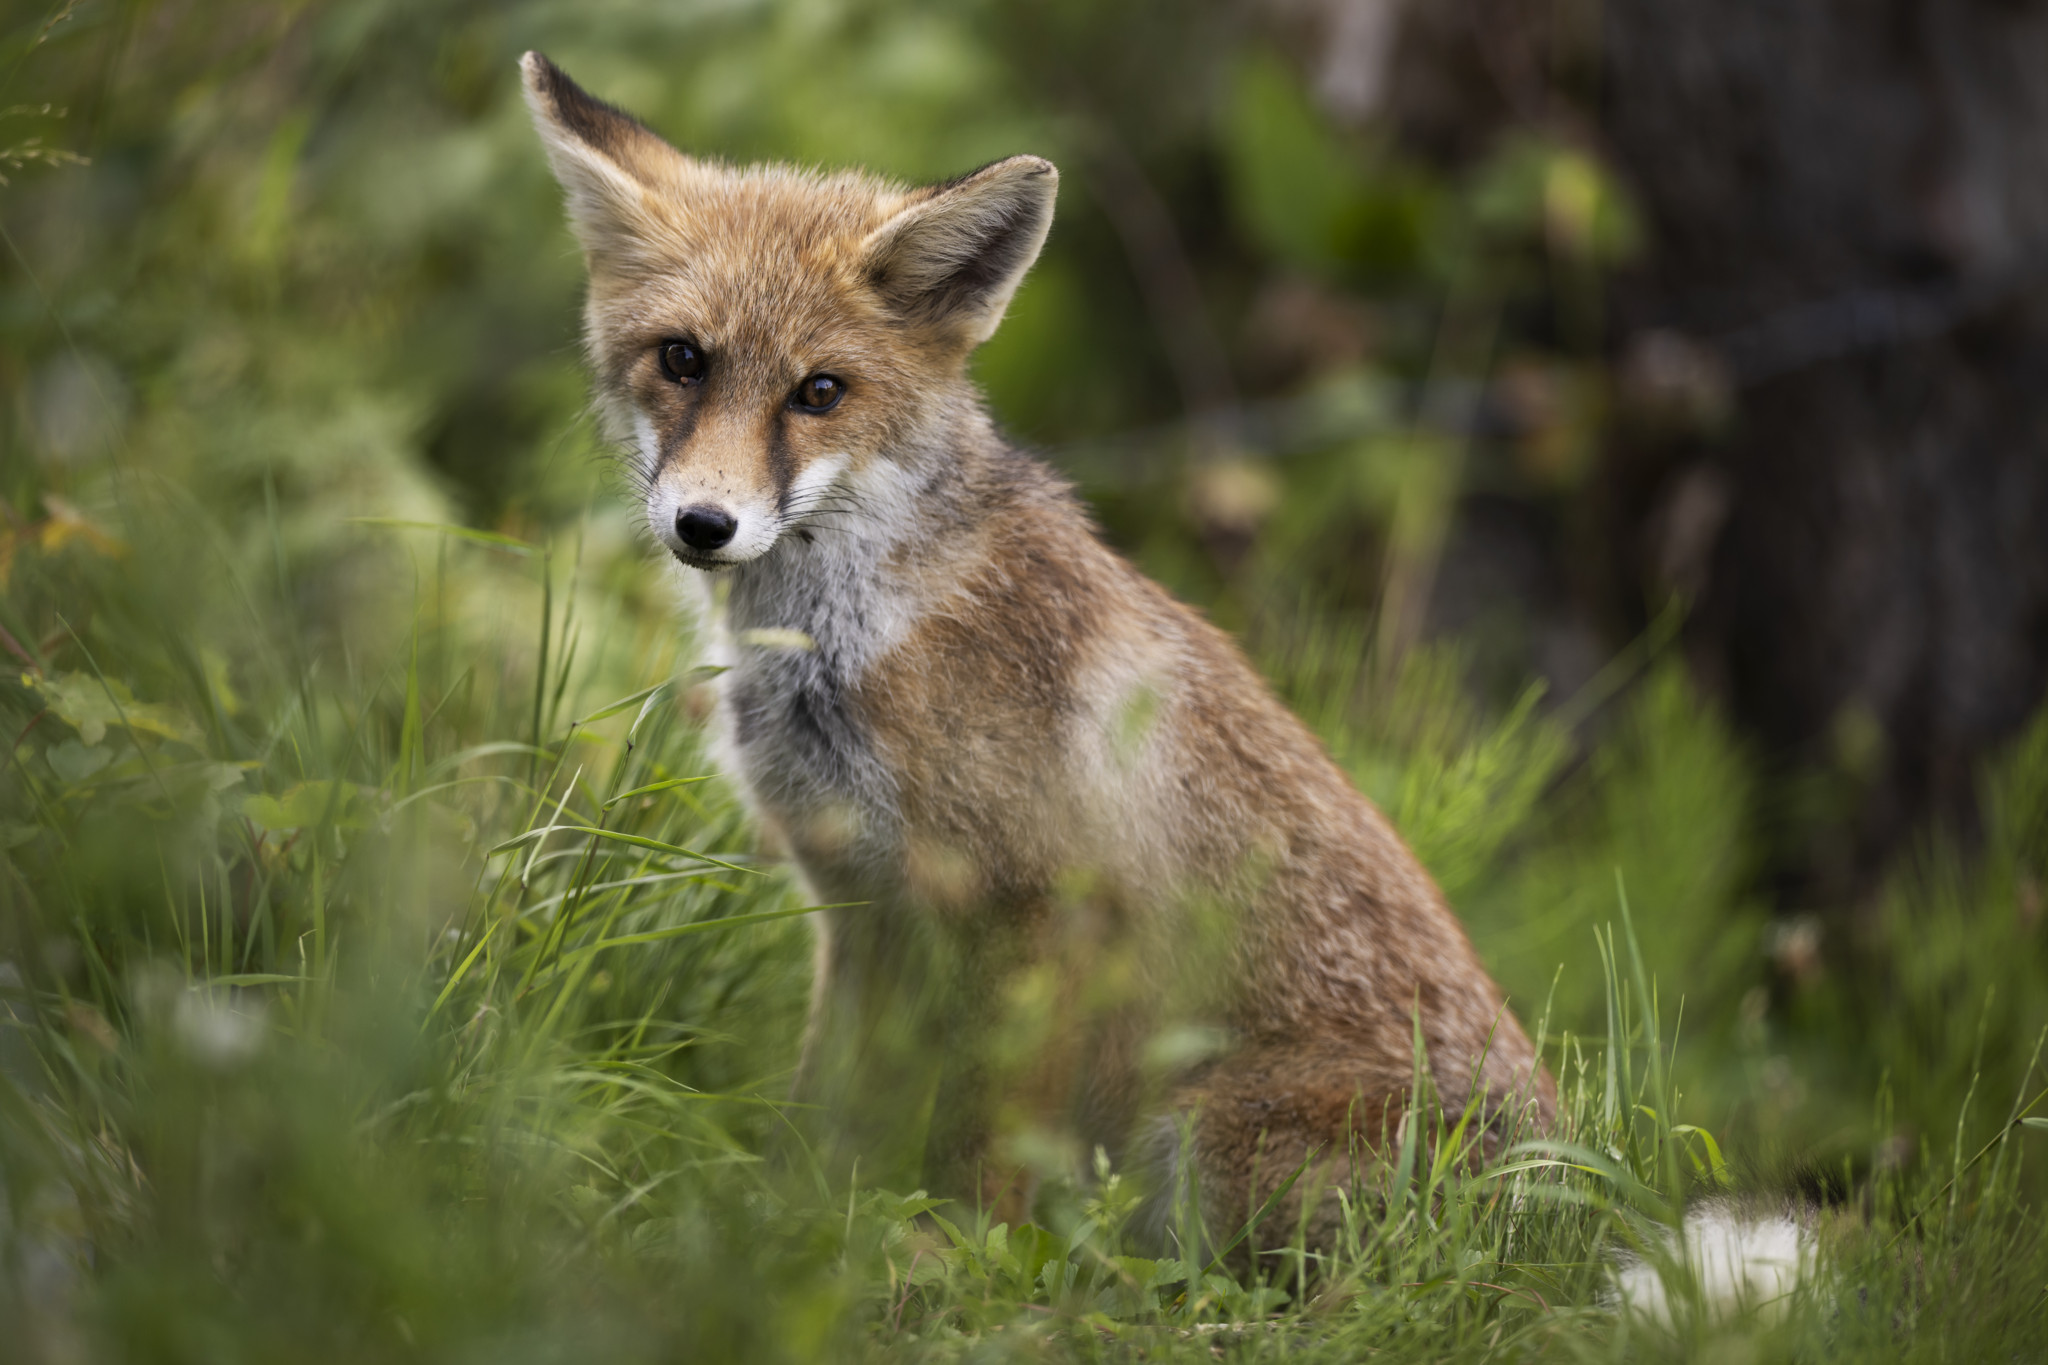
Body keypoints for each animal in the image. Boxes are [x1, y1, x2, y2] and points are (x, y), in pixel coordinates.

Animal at [522, 51, 1554, 1256]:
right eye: (681, 361)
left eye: (818, 392)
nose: (703, 524)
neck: (852, 645)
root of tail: (1574, 1192)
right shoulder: (859, 902)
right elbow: (824, 1111)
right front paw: (787, 1228)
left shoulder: (1037, 906)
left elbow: (983, 1136)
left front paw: (959, 1257)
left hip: (1197, 1134)